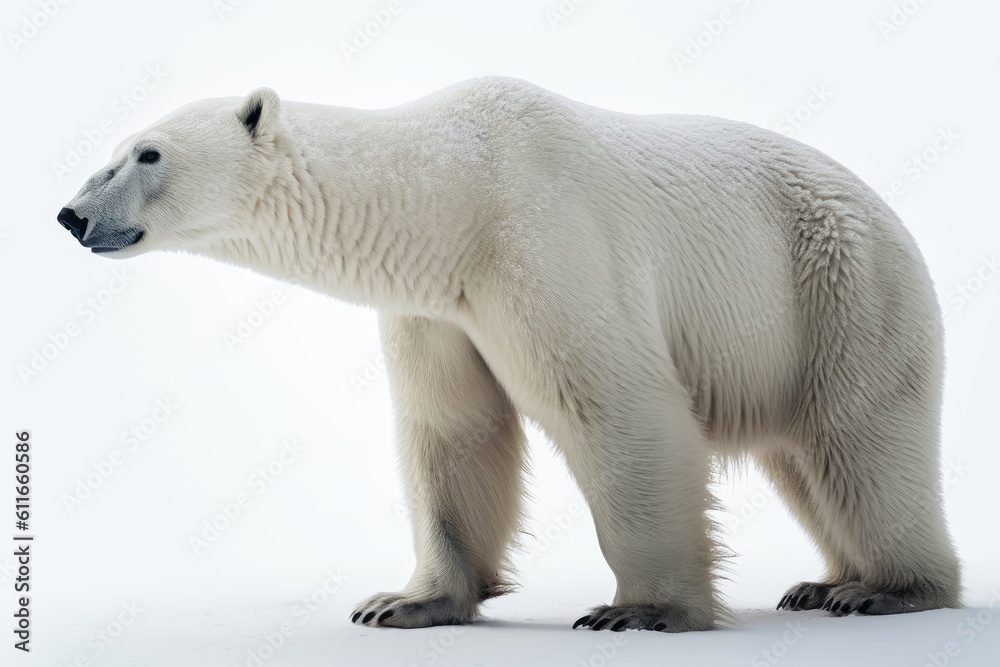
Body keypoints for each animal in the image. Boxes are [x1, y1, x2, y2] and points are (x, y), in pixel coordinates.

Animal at [57, 77, 961, 632]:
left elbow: (620, 409)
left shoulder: (547, 239)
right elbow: (453, 432)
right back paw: (826, 580)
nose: (71, 214)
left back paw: (889, 587)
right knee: (804, 459)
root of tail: (894, 216)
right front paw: (405, 601)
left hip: (836, 289)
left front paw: (642, 610)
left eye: (147, 153)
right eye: (119, 146)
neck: (453, 198)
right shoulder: (439, 305)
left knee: (860, 440)